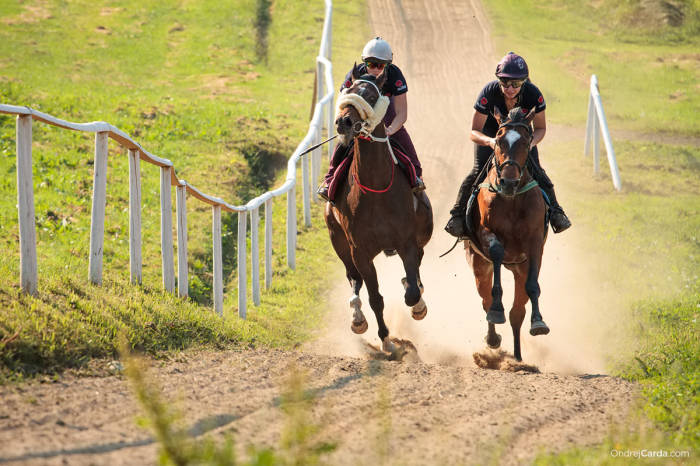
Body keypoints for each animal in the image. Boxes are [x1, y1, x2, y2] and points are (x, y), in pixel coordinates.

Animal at [324, 63, 432, 352]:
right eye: (349, 89)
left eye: (372, 96)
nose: (343, 122)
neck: (375, 188)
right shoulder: (359, 251)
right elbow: (375, 298)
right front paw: (386, 341)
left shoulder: (406, 241)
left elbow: (412, 291)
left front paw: (417, 305)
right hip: (338, 240)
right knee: (353, 279)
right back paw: (357, 316)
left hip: (422, 233)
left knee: (417, 267)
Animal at [468, 107, 548, 362]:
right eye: (499, 140)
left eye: (525, 141)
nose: (509, 182)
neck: (512, 200)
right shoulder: (486, 233)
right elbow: (495, 251)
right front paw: (496, 309)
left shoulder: (535, 242)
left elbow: (532, 286)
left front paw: (538, 322)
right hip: (478, 265)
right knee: (485, 299)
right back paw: (493, 337)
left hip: (519, 269)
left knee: (516, 313)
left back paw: (518, 357)